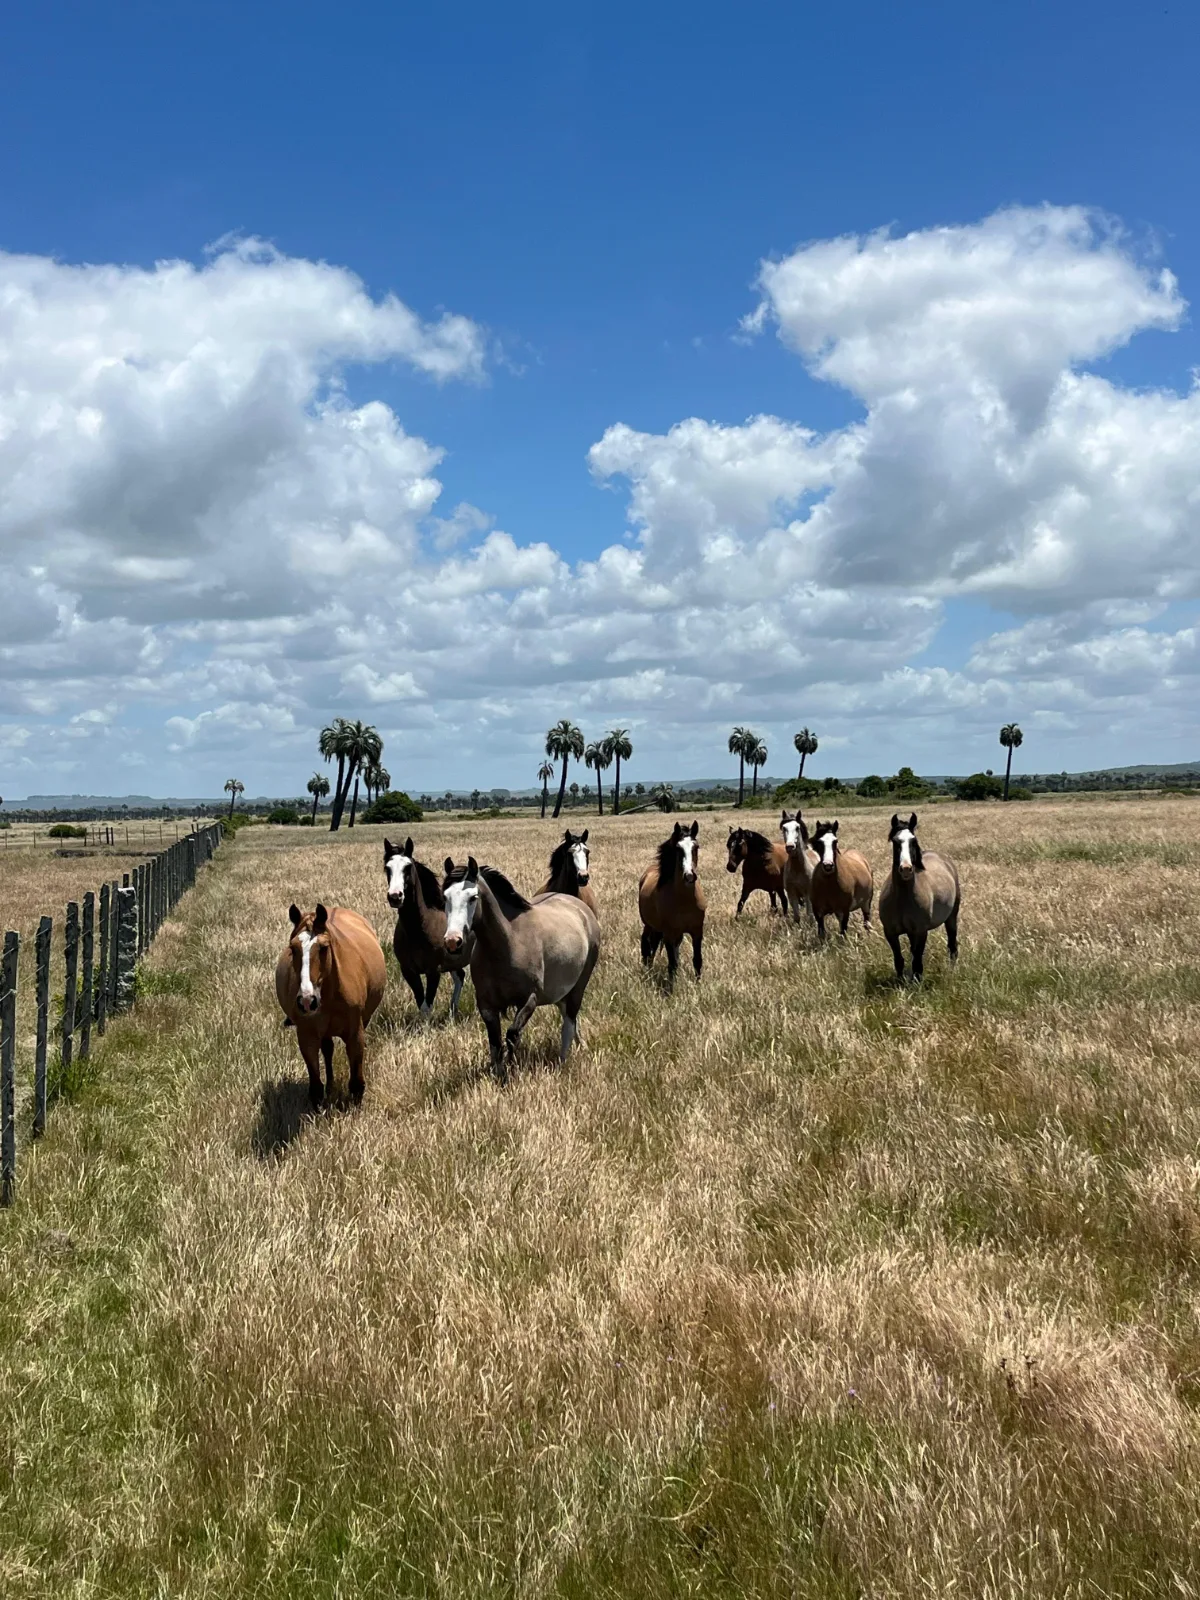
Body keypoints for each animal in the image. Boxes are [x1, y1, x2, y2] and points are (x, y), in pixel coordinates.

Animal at [275, 903, 386, 1107]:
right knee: (327, 1050)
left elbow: (356, 1080)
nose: (307, 1001)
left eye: (323, 947)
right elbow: (315, 1086)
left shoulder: (355, 1032)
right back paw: (331, 1086)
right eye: (293, 948)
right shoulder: (307, 1036)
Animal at [383, 836, 470, 1019]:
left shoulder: (433, 971)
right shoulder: (408, 971)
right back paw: (452, 1011)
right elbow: (420, 1001)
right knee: (460, 976)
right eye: (387, 868)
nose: (395, 897)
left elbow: (426, 1005)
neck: (417, 930)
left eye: (408, 867)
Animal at [442, 857, 600, 1079]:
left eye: (473, 897)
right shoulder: (486, 1006)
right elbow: (495, 1042)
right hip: (560, 991)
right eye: (445, 897)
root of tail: (581, 908)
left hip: (579, 986)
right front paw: (499, 1074)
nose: (452, 941)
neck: (508, 941)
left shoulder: (529, 1000)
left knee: (568, 1023)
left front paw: (511, 1069)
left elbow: (512, 1035)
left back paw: (562, 1061)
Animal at [639, 820, 706, 981]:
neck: (685, 901)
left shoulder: (697, 931)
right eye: (678, 848)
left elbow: (697, 960)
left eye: (696, 847)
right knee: (647, 945)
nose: (689, 876)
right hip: (650, 925)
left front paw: (698, 983)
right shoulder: (669, 934)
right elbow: (672, 964)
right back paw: (648, 970)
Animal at [878, 812, 961, 982]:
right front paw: (901, 982)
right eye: (895, 841)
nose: (906, 869)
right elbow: (899, 960)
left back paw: (952, 970)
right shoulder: (890, 932)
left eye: (913, 841)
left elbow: (917, 959)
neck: (902, 898)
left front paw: (917, 981)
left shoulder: (921, 931)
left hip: (951, 918)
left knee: (952, 945)